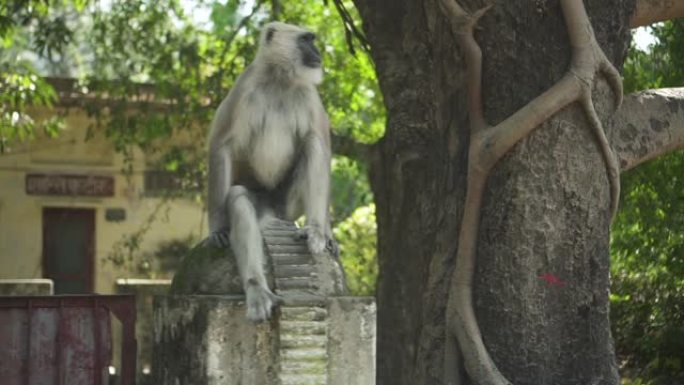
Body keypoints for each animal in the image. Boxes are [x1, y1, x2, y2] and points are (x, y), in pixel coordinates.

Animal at [208, 21, 336, 320]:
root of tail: (274, 211)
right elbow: (221, 146)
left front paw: (325, 232)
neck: (281, 80)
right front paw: (217, 227)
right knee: (238, 197)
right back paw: (257, 290)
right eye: (306, 40)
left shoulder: (309, 94)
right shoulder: (245, 86)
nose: (318, 53)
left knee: (313, 145)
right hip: (264, 201)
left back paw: (314, 230)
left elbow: (321, 145)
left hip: (288, 205)